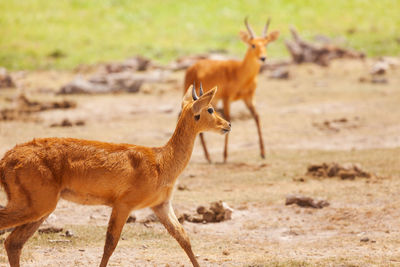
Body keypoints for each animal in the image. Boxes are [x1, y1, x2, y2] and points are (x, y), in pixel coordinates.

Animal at [0, 86, 230, 267]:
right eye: (210, 108)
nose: (227, 124)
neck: (162, 161)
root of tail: (6, 159)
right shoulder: (123, 204)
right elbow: (110, 243)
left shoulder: (161, 205)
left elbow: (183, 237)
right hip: (35, 205)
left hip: (41, 208)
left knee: (13, 242)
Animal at [184, 17, 278, 163]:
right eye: (253, 45)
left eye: (266, 44)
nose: (262, 58)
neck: (240, 73)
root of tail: (192, 67)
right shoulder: (227, 99)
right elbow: (228, 117)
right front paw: (225, 156)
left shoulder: (248, 98)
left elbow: (257, 117)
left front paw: (263, 153)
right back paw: (208, 157)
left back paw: (208, 156)